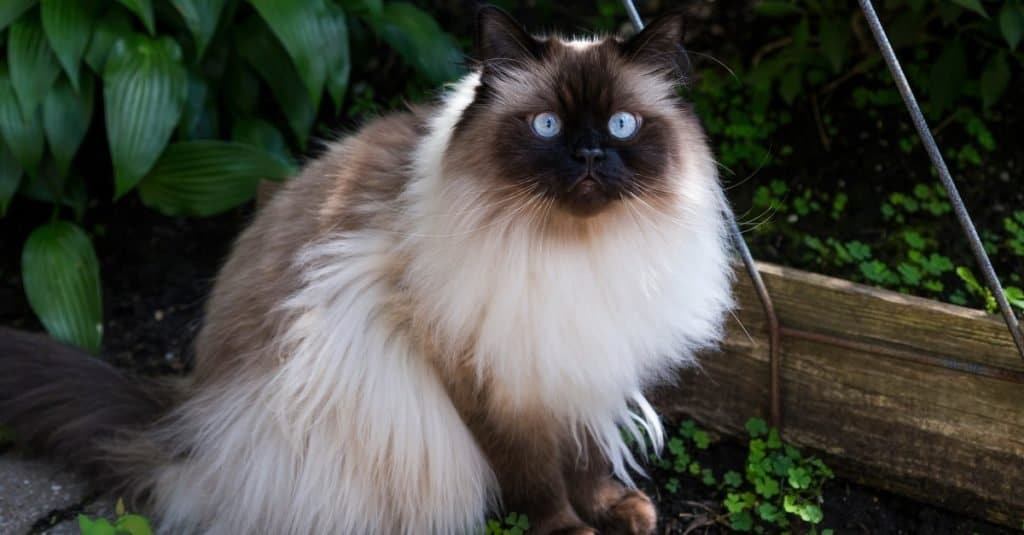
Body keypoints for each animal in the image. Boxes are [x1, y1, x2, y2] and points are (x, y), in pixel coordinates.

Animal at [2, 5, 737, 532]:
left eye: (620, 125)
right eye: (548, 126)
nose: (587, 156)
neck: (572, 251)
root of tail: (179, 418)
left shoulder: (579, 361)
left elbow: (585, 460)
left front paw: (618, 510)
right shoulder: (494, 376)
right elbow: (536, 476)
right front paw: (569, 529)